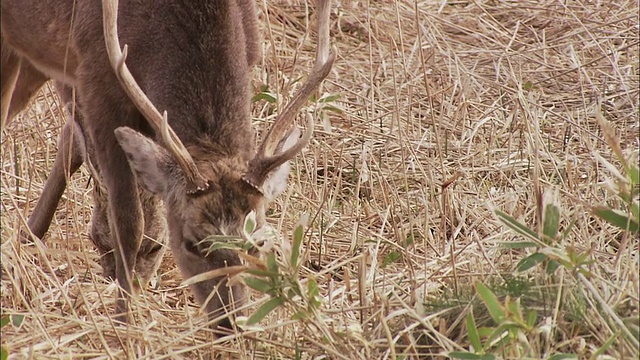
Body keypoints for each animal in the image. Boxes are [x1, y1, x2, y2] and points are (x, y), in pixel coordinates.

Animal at [2, 0, 336, 332]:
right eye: (191, 243)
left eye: (259, 242)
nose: (232, 323)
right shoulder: (96, 78)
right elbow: (130, 223)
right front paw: (124, 324)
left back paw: (26, 237)